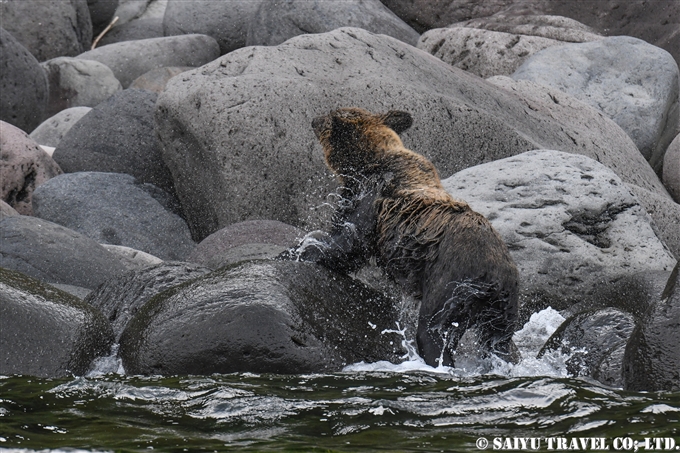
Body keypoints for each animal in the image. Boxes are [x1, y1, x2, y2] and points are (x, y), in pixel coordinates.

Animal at [282, 107, 520, 368]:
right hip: (502, 310)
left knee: (433, 330)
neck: (367, 162)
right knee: (500, 344)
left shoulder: (372, 195)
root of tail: (496, 279)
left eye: (332, 115)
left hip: (453, 280)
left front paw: (298, 251)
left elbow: (350, 242)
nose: (314, 119)